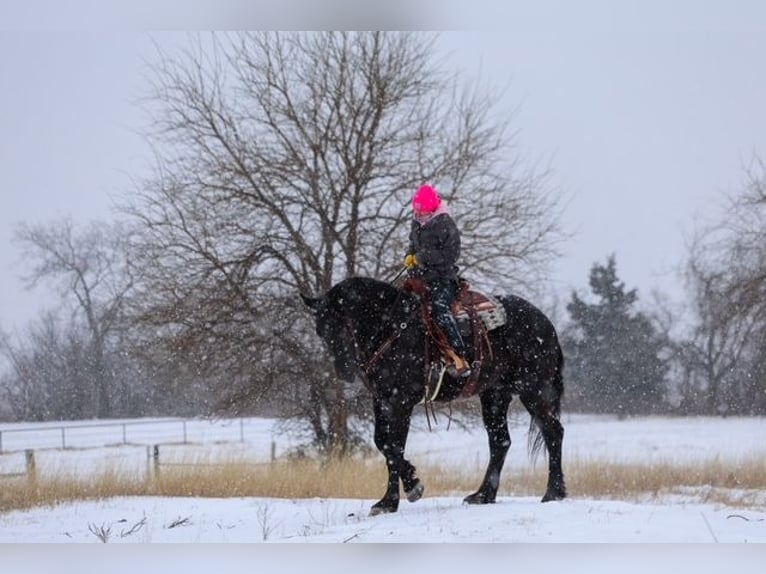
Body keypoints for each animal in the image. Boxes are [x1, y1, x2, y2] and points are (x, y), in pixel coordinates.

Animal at [301, 276, 566, 515]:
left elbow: (393, 446)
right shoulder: (382, 400)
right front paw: (402, 490)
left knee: (553, 432)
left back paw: (553, 492)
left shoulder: (400, 402)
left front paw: (398, 496)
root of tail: (546, 323)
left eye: (343, 323)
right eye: (321, 331)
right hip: (495, 395)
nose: (344, 371)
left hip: (534, 390)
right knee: (500, 441)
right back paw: (483, 495)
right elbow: (383, 442)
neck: (392, 329)